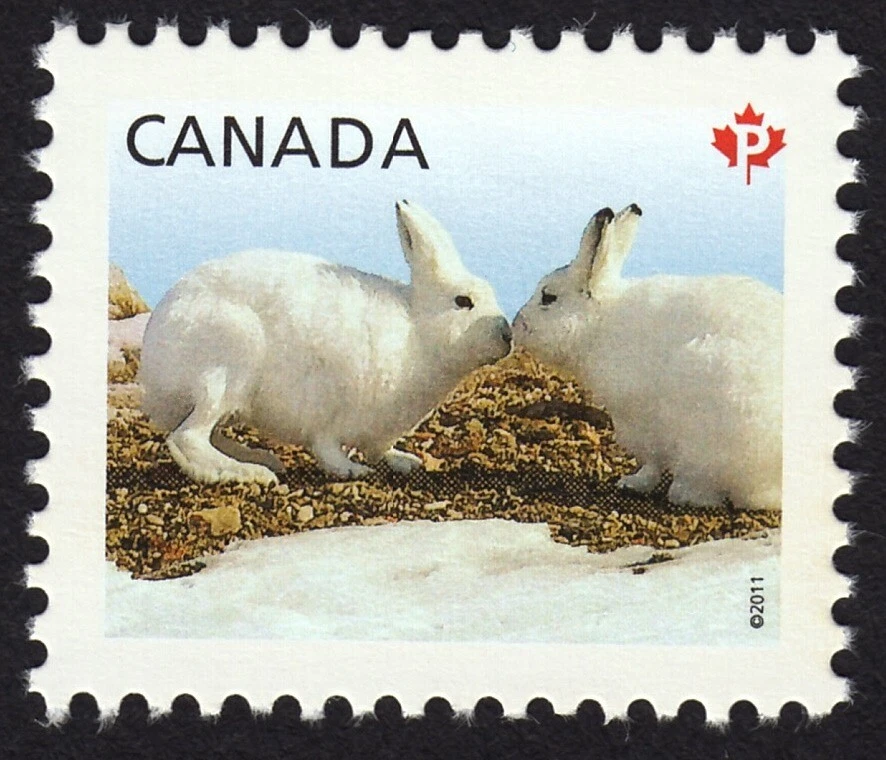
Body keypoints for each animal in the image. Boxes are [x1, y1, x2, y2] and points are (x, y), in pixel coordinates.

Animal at [139, 201, 513, 486]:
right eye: (463, 302)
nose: (507, 335)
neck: (418, 330)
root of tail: (153, 359)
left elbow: (381, 449)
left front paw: (404, 461)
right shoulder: (329, 408)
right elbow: (328, 447)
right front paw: (352, 470)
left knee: (206, 433)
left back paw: (262, 458)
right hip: (228, 365)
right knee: (187, 437)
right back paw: (249, 472)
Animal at [513, 204, 782, 511]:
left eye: (548, 297)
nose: (517, 324)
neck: (599, 321)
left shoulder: (641, 420)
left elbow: (652, 462)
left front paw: (632, 483)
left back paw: (682, 493)